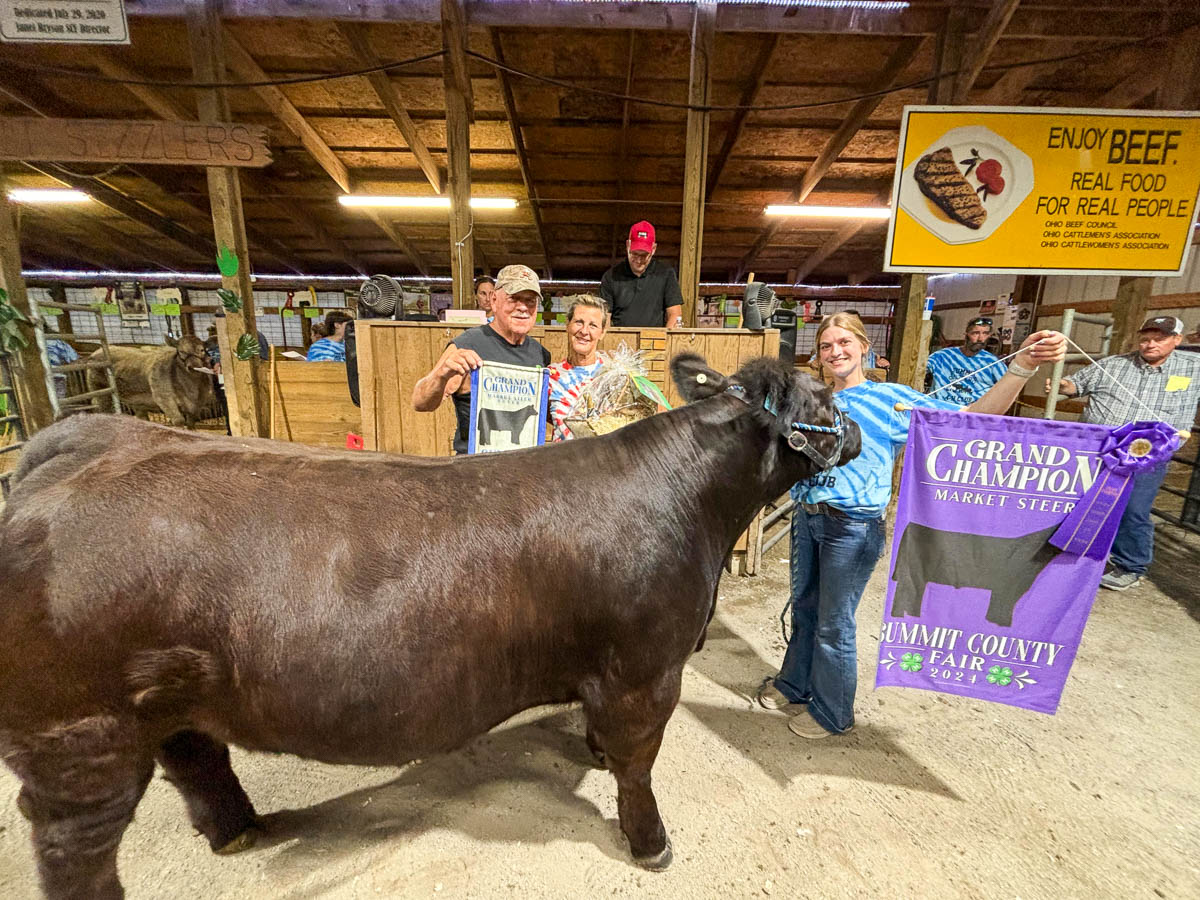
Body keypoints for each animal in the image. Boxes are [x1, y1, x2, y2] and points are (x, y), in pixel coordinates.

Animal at [0, 352, 859, 899]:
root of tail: (88, 438)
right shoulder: (647, 668)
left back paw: (238, 830)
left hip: (162, 701)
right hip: (78, 737)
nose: (853, 431)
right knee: (75, 847)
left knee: (195, 758)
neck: (694, 506)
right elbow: (639, 766)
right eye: (825, 401)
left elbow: (611, 746)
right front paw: (652, 845)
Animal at [86, 335, 215, 428]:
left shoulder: (196, 405)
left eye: (202, 350)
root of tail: (98, 350)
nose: (193, 366)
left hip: (135, 400)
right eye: (181, 351)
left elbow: (191, 424)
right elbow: (179, 421)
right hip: (100, 391)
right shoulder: (164, 399)